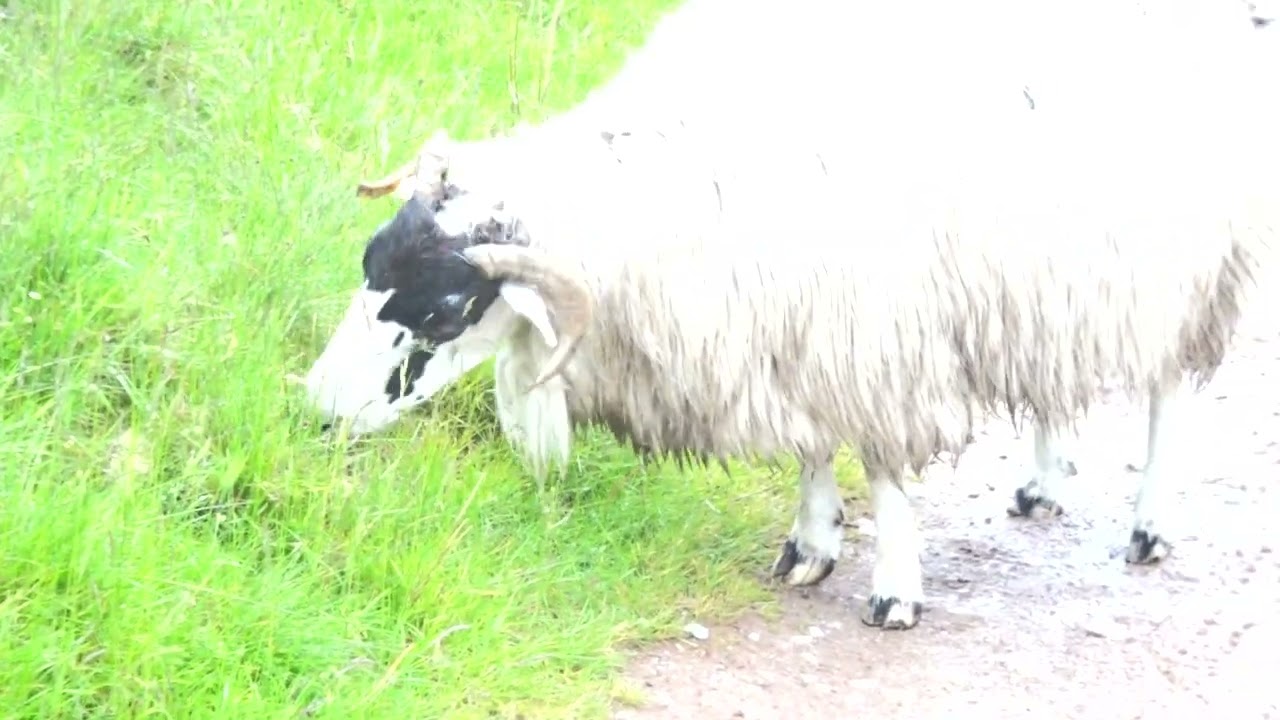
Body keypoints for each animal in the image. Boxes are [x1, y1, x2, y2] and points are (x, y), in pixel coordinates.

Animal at [302, 0, 1280, 630]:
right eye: (369, 267)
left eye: (445, 310)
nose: (316, 412)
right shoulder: (787, 330)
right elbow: (811, 447)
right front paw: (810, 547)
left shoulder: (873, 336)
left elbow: (882, 470)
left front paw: (894, 588)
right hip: (1048, 279)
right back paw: (1042, 479)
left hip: (1187, 267)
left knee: (1167, 393)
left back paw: (1149, 525)